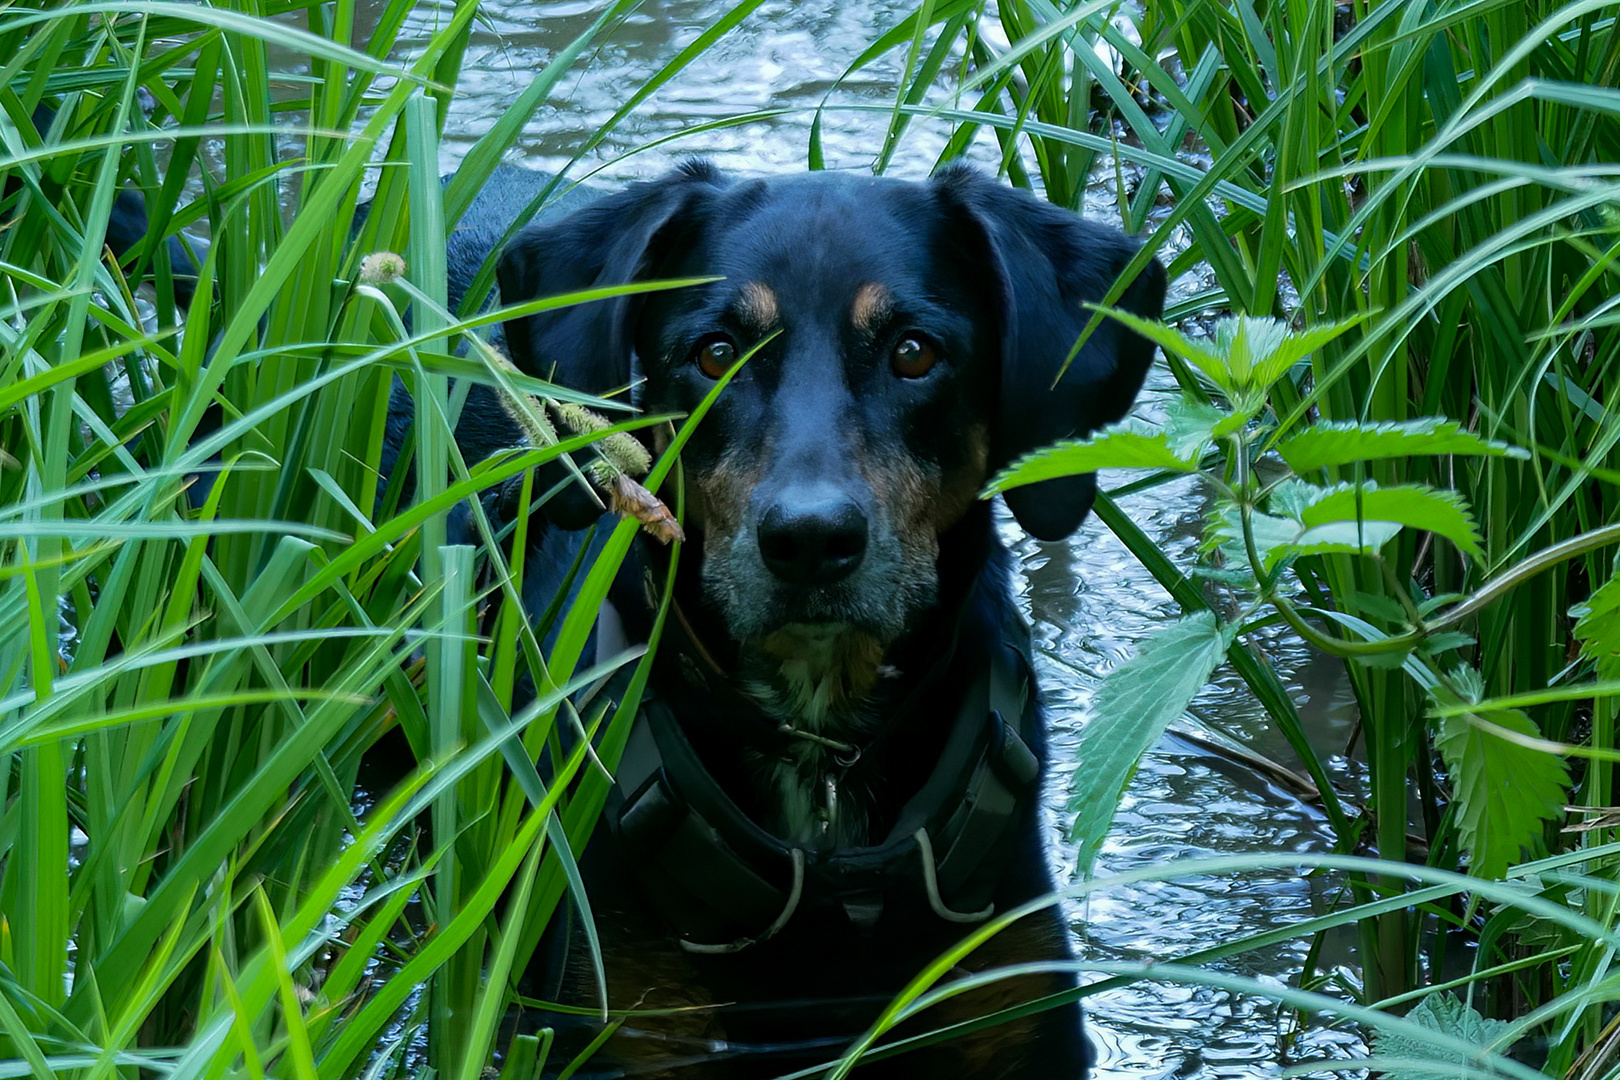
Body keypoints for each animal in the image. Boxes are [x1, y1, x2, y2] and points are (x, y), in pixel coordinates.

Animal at [443, 162, 1166, 1080]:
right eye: (715, 354)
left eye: (914, 353)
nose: (811, 540)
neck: (820, 752)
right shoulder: (610, 1026)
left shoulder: (1013, 1013)